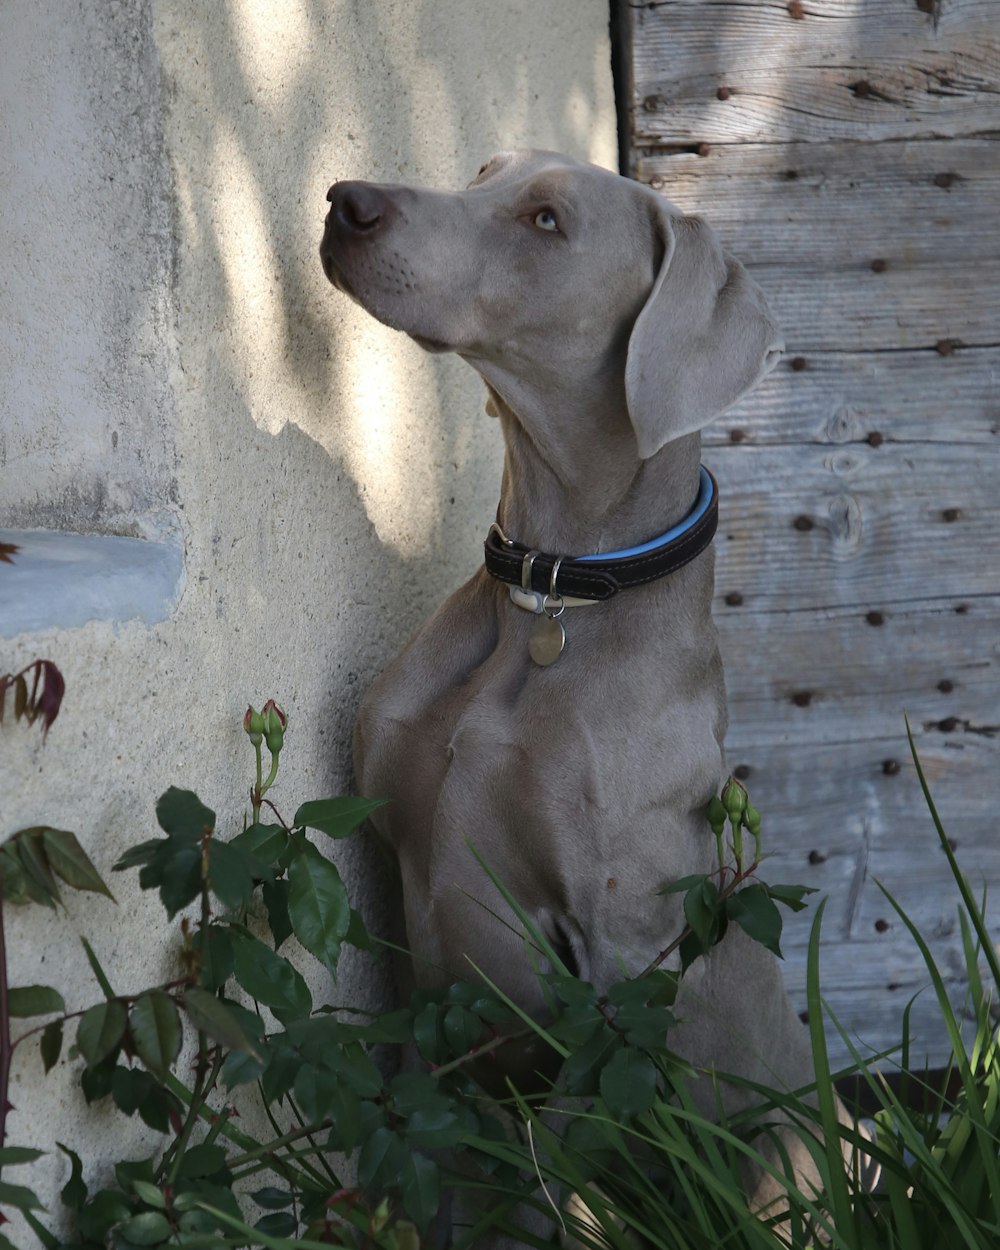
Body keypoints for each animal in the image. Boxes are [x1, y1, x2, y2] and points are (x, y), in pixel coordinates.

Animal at [320, 151, 830, 1235]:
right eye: (483, 174)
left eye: (547, 220)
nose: (345, 201)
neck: (551, 598)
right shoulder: (419, 967)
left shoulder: (617, 973)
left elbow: (555, 1176)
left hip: (794, 1151)